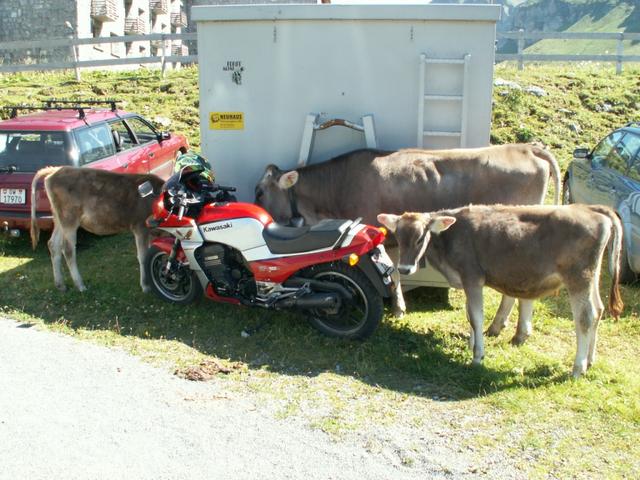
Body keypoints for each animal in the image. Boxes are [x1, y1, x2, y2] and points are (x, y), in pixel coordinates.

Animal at [30, 167, 165, 290]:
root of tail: (55, 170)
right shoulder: (140, 227)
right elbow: (143, 256)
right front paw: (146, 285)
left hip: (58, 219)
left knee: (53, 245)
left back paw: (60, 285)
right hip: (69, 218)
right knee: (68, 249)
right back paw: (80, 285)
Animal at [255, 146, 560, 318]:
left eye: (259, 191)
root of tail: (527, 147)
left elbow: (391, 272)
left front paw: (398, 308)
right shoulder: (390, 237)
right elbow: (395, 271)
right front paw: (399, 304)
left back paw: (500, 326)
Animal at [378, 203, 624, 378]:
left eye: (421, 238)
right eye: (398, 236)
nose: (404, 268)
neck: (451, 236)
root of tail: (591, 209)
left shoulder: (472, 277)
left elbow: (476, 317)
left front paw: (477, 356)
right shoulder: (468, 282)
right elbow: (470, 316)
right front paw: (472, 344)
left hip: (578, 277)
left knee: (585, 317)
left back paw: (578, 367)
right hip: (591, 277)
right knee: (598, 310)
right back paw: (590, 360)